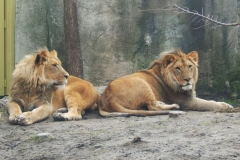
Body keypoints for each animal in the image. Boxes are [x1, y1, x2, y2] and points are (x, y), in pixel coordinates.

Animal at [98, 48, 233, 117]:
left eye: (189, 66)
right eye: (178, 68)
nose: (188, 79)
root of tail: (108, 99)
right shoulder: (187, 101)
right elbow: (209, 103)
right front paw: (226, 106)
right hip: (141, 83)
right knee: (152, 107)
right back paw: (173, 106)